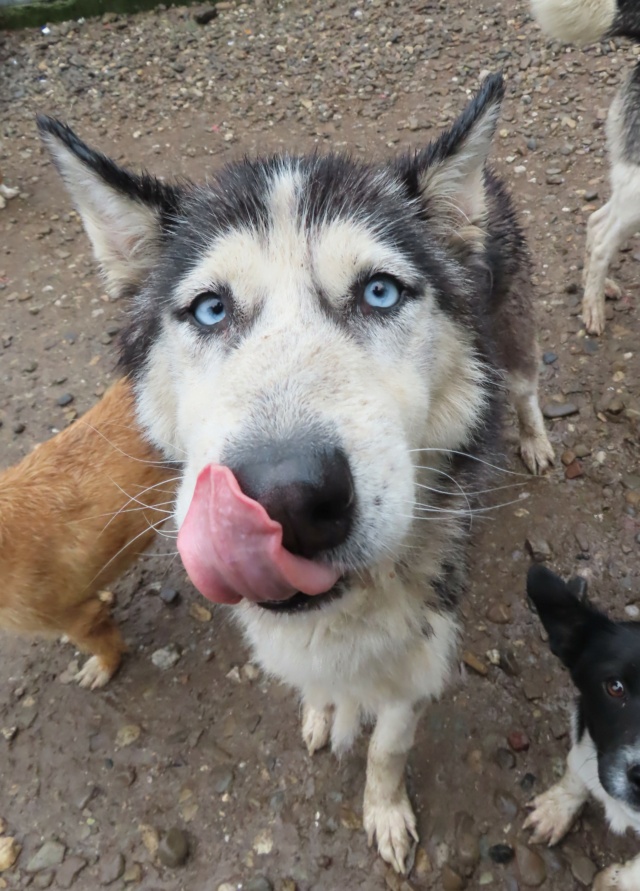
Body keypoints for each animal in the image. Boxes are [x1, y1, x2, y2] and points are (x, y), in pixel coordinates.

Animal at [37, 75, 552, 872]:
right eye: (210, 308)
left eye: (379, 292)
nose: (287, 498)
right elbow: (321, 684)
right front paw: (324, 708)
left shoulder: (421, 651)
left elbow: (388, 748)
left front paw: (384, 811)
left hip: (519, 342)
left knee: (525, 388)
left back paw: (534, 440)